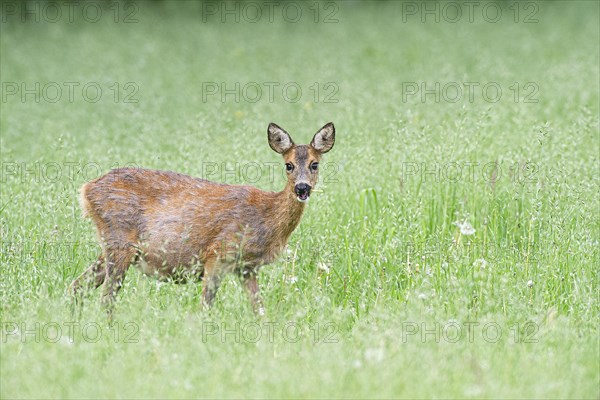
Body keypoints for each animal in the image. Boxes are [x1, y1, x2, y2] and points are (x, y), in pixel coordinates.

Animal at [69, 122, 336, 316]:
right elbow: (205, 306)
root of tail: (86, 190)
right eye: (288, 165)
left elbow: (259, 309)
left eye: (314, 164)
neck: (267, 217)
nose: (302, 188)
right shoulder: (218, 252)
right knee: (105, 298)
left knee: (78, 286)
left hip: (113, 246)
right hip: (120, 240)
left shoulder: (246, 267)